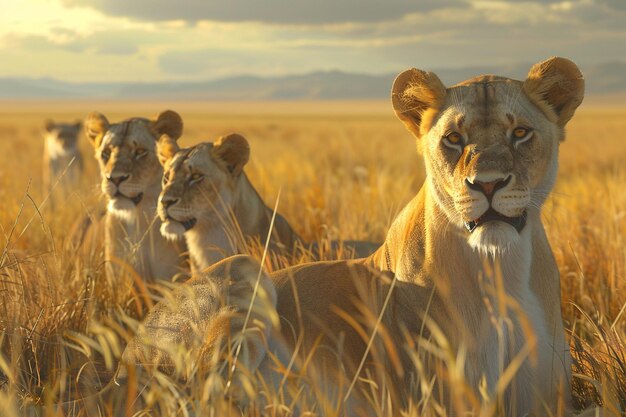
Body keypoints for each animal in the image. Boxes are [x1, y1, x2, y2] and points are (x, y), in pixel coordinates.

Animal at [109, 57, 604, 414]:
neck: (499, 269)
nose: (487, 184)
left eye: (520, 133)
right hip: (243, 274)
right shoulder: (434, 402)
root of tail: (121, 363)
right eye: (453, 139)